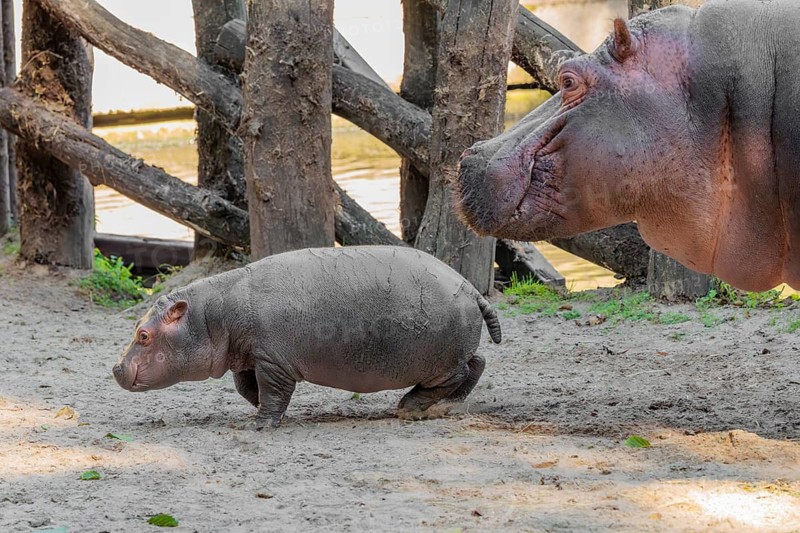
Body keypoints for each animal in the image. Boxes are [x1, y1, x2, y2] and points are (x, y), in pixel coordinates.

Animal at [113, 246, 501, 429]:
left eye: (144, 335)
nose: (116, 368)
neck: (213, 313)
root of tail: (469, 287)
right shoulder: (251, 357)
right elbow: (247, 389)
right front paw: (263, 413)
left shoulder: (273, 362)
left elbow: (271, 393)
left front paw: (262, 425)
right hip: (453, 352)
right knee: (478, 363)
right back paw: (446, 407)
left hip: (440, 362)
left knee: (459, 373)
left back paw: (409, 407)